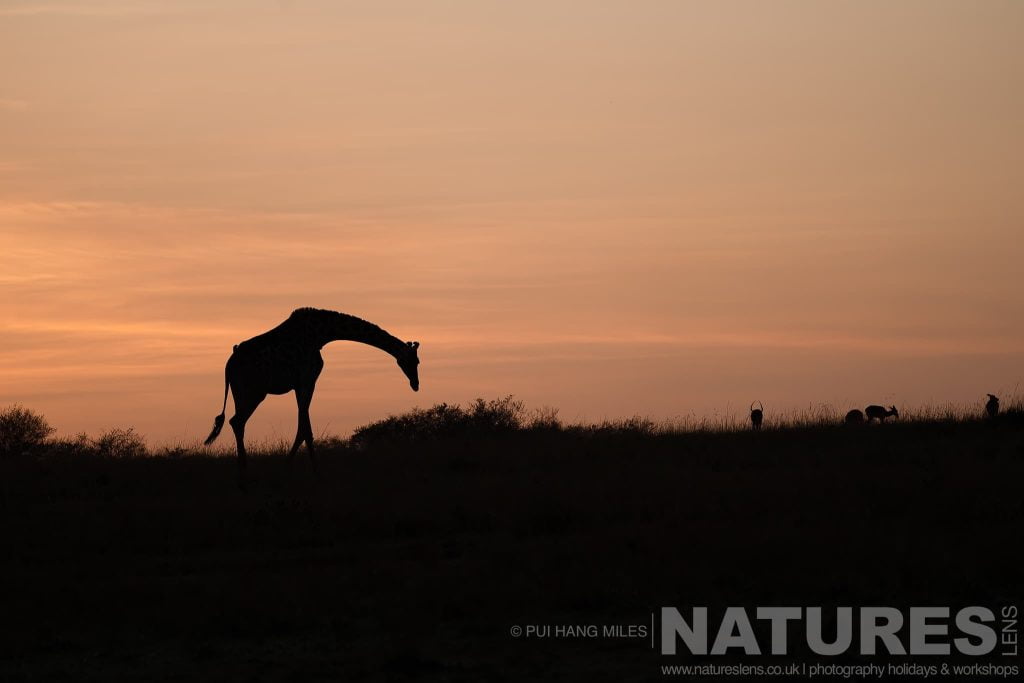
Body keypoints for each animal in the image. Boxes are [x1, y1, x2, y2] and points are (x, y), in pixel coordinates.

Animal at [203, 308, 420, 488]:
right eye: (412, 361)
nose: (415, 384)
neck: (322, 334)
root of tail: (229, 365)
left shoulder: (301, 384)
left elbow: (303, 427)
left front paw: (292, 468)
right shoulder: (307, 379)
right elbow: (306, 430)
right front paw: (314, 474)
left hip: (241, 392)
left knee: (236, 421)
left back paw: (242, 473)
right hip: (254, 392)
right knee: (238, 421)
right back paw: (244, 474)